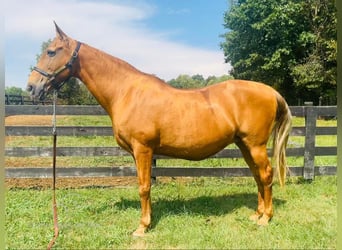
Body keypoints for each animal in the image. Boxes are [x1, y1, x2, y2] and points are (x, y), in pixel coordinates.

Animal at [28, 22, 292, 236]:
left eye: (51, 51)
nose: (32, 87)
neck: (126, 91)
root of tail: (270, 91)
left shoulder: (143, 149)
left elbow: (144, 187)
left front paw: (142, 227)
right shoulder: (138, 153)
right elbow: (144, 185)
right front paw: (149, 219)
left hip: (255, 145)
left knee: (266, 174)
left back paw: (266, 218)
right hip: (244, 145)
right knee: (257, 175)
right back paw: (257, 214)